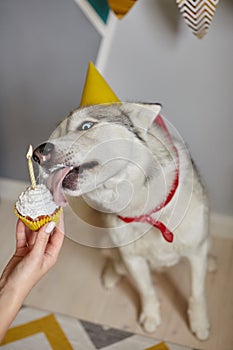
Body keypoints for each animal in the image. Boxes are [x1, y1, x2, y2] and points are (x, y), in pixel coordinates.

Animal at [34, 101, 211, 340]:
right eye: (57, 133)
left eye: (86, 126)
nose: (38, 153)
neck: (147, 211)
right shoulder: (133, 259)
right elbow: (146, 290)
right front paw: (150, 316)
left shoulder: (196, 252)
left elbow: (197, 291)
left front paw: (199, 322)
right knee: (113, 258)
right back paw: (112, 273)